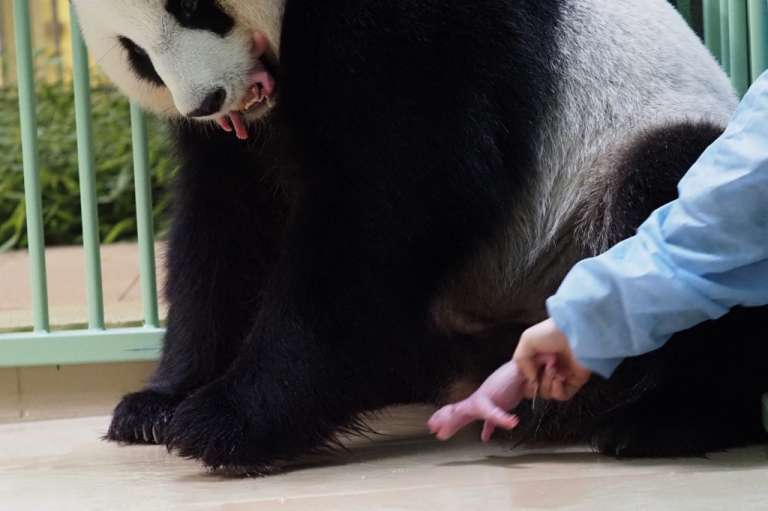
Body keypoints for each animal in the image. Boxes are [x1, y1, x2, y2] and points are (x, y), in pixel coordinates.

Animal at [72, 0, 768, 471]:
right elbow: (228, 224)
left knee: (675, 189)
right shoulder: (238, 144)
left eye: (196, 6)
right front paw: (160, 404)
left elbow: (395, 198)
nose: (208, 99)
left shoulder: (428, 29)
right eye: (136, 54)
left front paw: (229, 420)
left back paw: (666, 419)